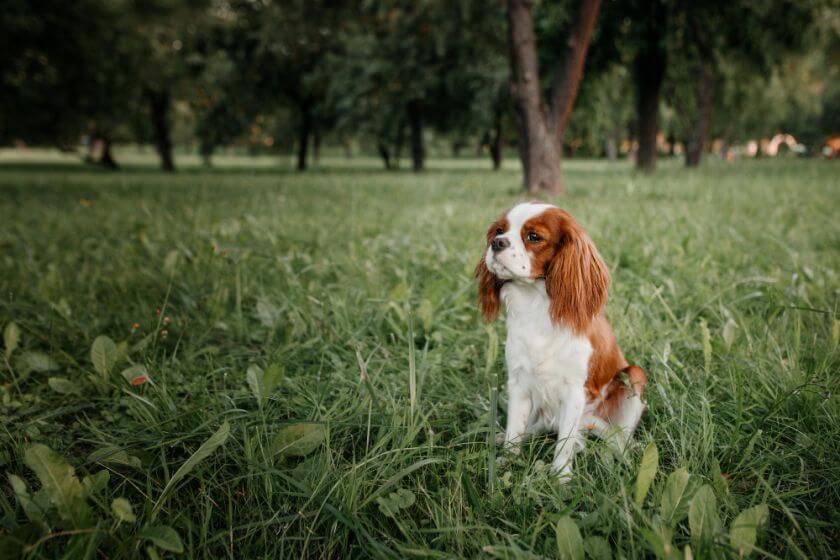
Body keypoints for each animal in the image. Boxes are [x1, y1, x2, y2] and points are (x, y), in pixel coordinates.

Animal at [476, 203, 648, 480]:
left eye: (534, 237)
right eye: (500, 230)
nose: (497, 243)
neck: (536, 304)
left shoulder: (574, 390)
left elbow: (565, 441)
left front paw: (560, 477)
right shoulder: (519, 383)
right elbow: (515, 428)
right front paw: (507, 461)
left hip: (634, 376)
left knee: (617, 437)